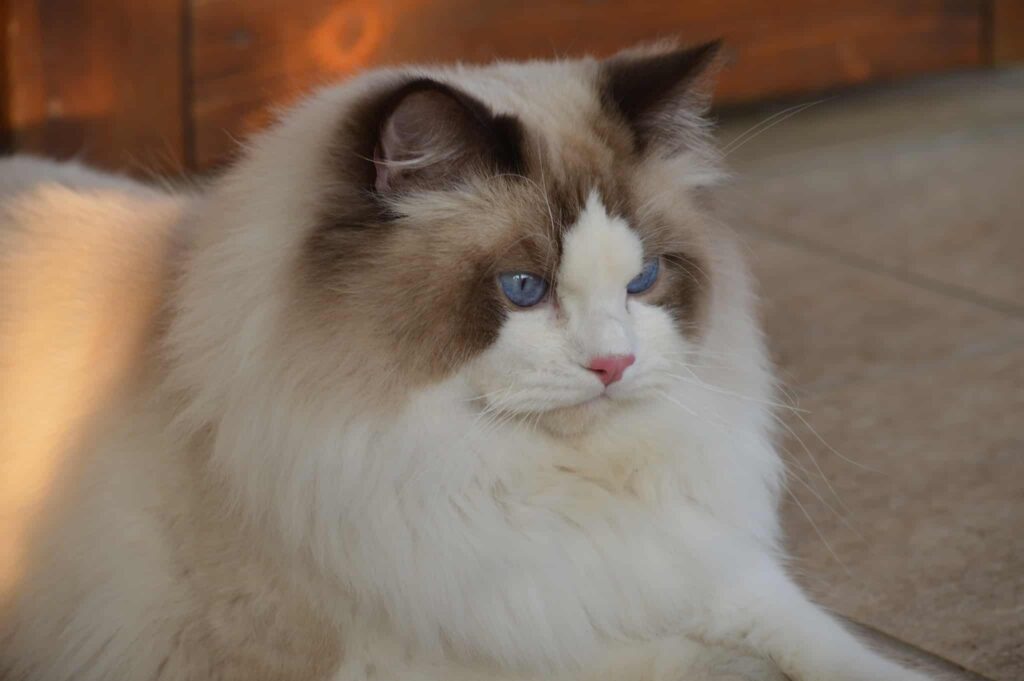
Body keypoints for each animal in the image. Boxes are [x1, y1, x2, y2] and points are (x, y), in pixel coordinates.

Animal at [0, 43, 937, 679]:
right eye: (523, 288)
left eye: (642, 280)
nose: (614, 364)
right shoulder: (456, 649)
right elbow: (694, 665)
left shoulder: (690, 566)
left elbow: (829, 648)